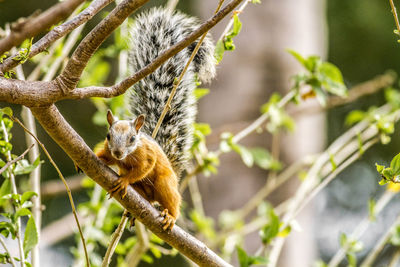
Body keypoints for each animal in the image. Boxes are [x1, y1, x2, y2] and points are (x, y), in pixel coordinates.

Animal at [93, 7, 216, 231]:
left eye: (133, 139)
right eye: (108, 136)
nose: (118, 153)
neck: (127, 157)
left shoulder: (147, 155)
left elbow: (144, 168)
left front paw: (124, 180)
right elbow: (104, 156)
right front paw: (93, 158)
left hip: (165, 185)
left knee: (172, 202)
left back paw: (170, 216)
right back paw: (132, 212)